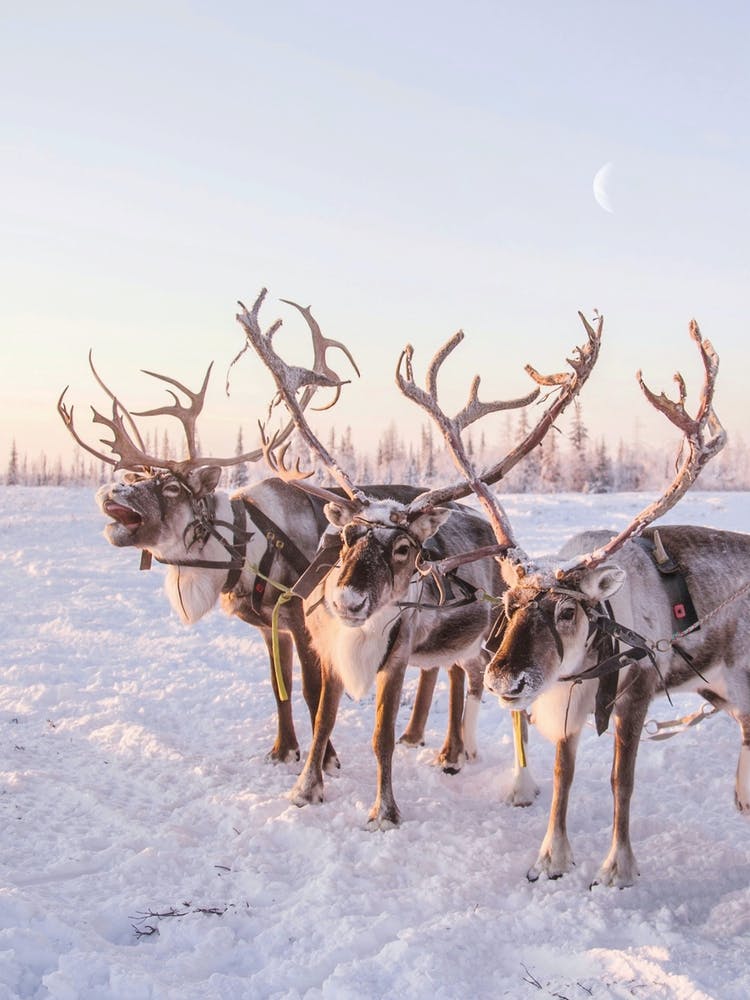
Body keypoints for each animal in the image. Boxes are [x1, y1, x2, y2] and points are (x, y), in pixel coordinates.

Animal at [57, 290, 467, 772]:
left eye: (172, 487)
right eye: (139, 479)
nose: (110, 490)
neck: (244, 549)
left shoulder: (302, 623)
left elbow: (311, 692)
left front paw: (326, 758)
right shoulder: (269, 627)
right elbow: (278, 689)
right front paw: (283, 748)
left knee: (455, 666)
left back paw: (450, 748)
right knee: (435, 666)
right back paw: (413, 734)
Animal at [235, 298, 603, 828]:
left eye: (403, 548)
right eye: (344, 538)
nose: (348, 601)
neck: (359, 637)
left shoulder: (396, 659)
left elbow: (380, 738)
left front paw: (384, 811)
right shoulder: (328, 653)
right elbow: (323, 721)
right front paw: (306, 789)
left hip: (498, 634)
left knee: (497, 692)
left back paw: (513, 779)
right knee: (459, 675)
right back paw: (454, 750)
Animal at [411, 318, 738, 888]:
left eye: (566, 612)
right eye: (508, 605)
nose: (505, 681)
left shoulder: (636, 693)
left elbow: (620, 781)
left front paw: (618, 867)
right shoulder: (564, 701)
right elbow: (563, 777)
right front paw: (551, 857)